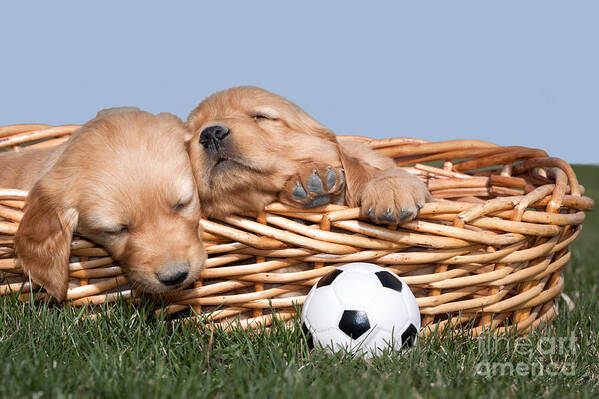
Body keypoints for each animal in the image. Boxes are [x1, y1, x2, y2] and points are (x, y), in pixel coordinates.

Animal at [186, 86, 432, 222]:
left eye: (260, 116)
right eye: (188, 138)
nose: (211, 134)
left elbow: (380, 171)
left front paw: (391, 189)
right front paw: (309, 180)